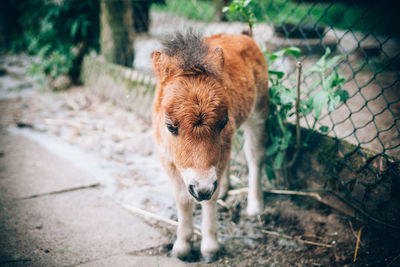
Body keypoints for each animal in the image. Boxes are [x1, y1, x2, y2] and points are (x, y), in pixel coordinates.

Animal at [152, 31, 270, 264]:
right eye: (170, 126)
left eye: (223, 121)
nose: (202, 187)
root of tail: (244, 35)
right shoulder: (166, 159)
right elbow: (183, 199)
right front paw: (181, 247)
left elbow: (209, 199)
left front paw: (209, 249)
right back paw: (225, 189)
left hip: (259, 113)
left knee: (255, 156)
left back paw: (254, 206)